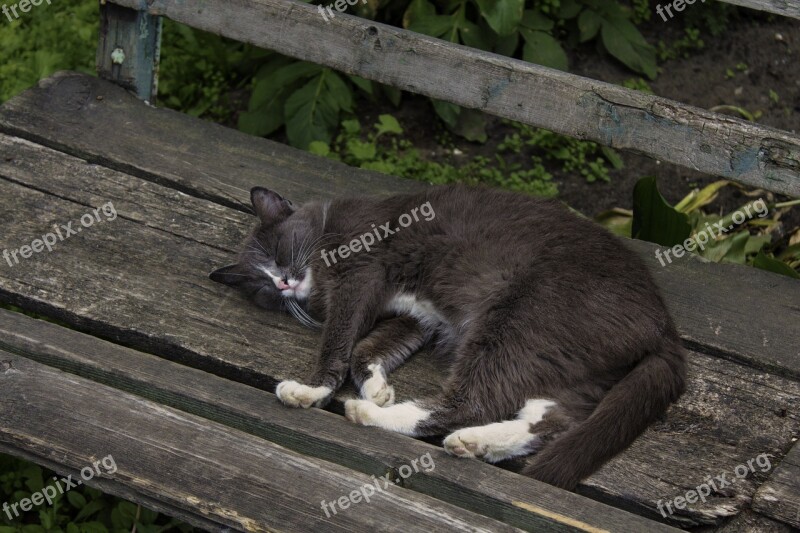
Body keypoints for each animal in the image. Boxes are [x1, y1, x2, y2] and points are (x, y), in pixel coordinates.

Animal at [212, 185, 688, 488]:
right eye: (261, 284)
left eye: (280, 253)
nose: (283, 282)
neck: (329, 229)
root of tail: (664, 325)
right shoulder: (419, 313)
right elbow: (368, 346)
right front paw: (376, 385)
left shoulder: (361, 270)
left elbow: (339, 340)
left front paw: (314, 390)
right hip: (569, 362)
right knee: (552, 419)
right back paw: (477, 443)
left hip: (520, 317)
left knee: (470, 402)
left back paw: (369, 415)